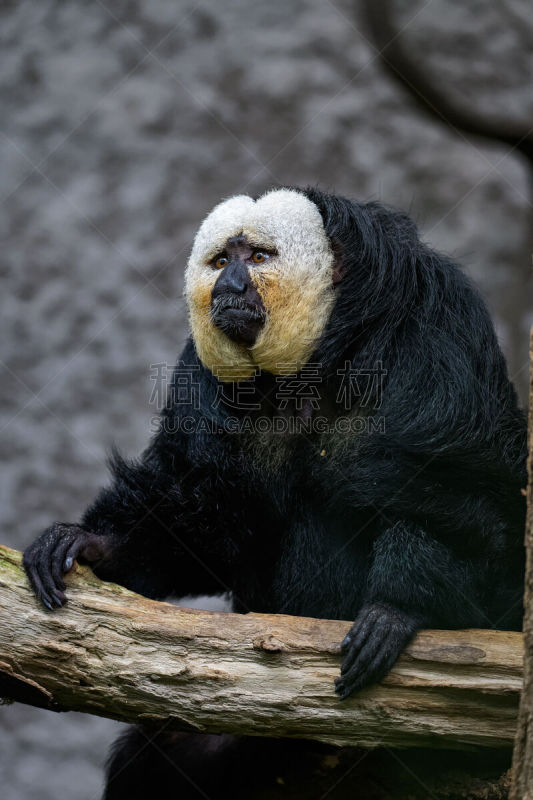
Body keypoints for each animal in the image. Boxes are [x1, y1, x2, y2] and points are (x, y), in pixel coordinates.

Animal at [22, 188, 524, 800]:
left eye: (258, 258)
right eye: (220, 261)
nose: (229, 287)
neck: (322, 356)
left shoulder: (436, 335)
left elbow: (463, 500)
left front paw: (403, 607)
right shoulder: (202, 378)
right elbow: (204, 509)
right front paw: (94, 543)